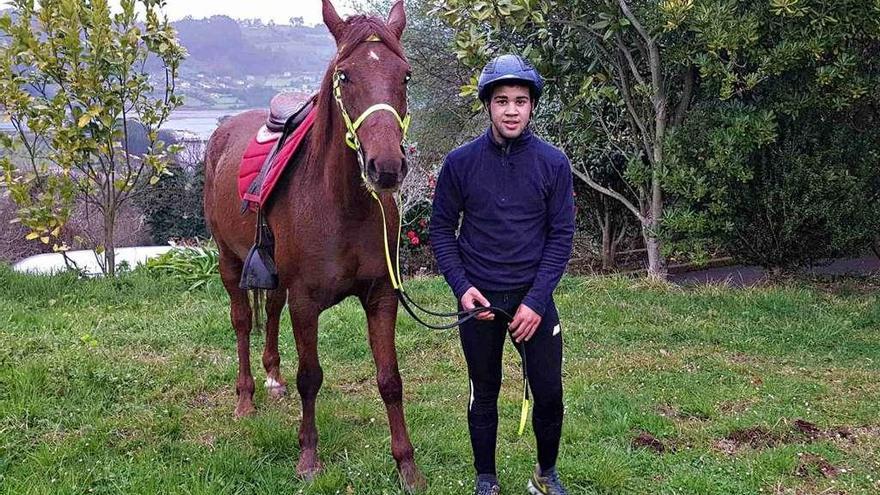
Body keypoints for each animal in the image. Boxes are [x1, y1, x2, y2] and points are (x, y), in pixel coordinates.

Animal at [205, 0, 428, 490]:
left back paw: (272, 377)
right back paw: (246, 397)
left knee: (269, 308)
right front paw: (308, 458)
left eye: (405, 76)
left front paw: (407, 465)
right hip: (229, 262)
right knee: (242, 321)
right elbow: (310, 376)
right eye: (344, 75)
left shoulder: (381, 297)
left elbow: (390, 379)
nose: (386, 167)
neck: (341, 203)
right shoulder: (305, 301)